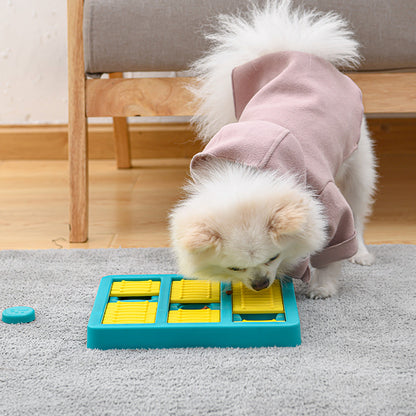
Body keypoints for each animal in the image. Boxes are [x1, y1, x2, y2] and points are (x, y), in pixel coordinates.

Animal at [169, 0, 376, 300]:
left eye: (272, 258)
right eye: (235, 268)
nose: (260, 284)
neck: (249, 170)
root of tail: (297, 53)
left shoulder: (328, 202)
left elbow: (332, 248)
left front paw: (322, 287)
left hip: (358, 164)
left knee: (358, 214)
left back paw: (360, 253)